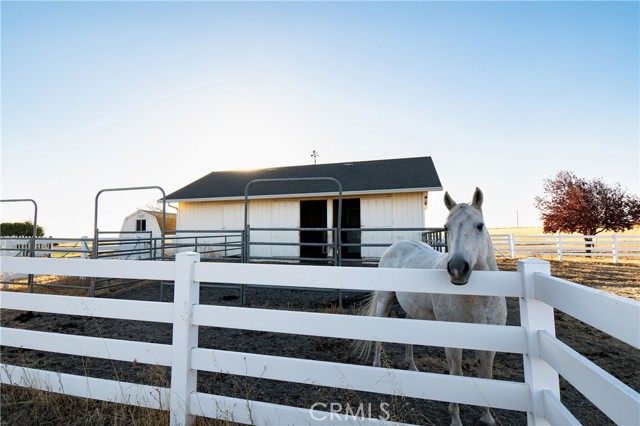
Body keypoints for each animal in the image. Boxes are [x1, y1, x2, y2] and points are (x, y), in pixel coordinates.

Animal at [360, 189, 504, 426]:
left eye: (479, 225)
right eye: (446, 227)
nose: (457, 268)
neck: (478, 298)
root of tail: (395, 246)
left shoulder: (489, 341)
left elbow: (487, 375)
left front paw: (487, 416)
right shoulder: (452, 341)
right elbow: (456, 374)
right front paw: (455, 418)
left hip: (413, 310)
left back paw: (413, 367)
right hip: (384, 299)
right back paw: (377, 365)